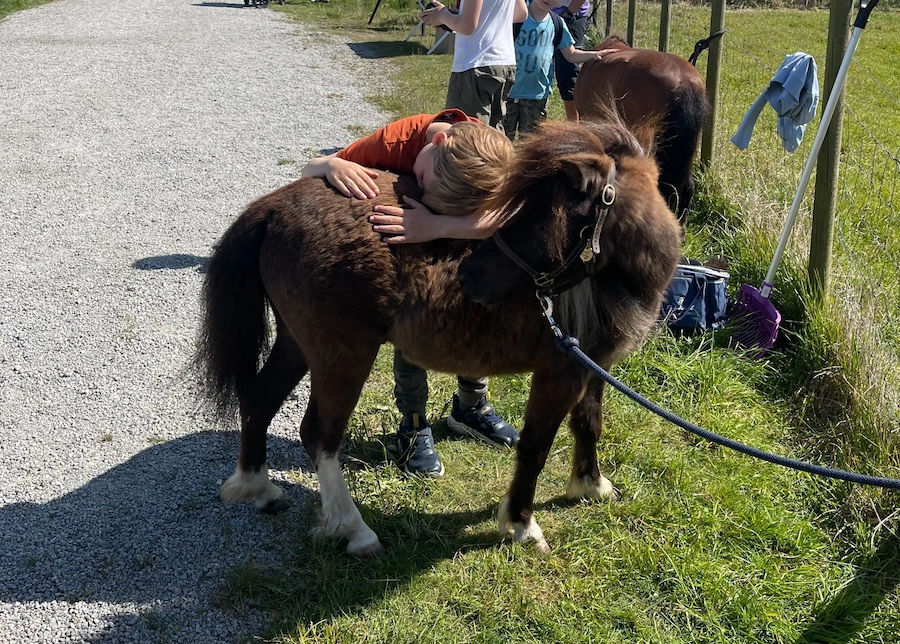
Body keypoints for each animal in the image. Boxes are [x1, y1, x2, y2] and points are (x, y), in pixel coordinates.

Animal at [193, 119, 682, 556]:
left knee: (259, 399)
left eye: (544, 215)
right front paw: (521, 525)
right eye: (518, 210)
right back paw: (355, 530)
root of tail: (273, 208)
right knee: (319, 434)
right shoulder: (559, 372)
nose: (469, 276)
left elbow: (589, 423)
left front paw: (592, 486)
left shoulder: (593, 366)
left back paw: (256, 487)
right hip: (341, 356)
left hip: (297, 344)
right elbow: (537, 445)